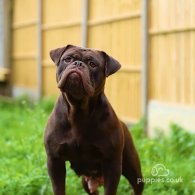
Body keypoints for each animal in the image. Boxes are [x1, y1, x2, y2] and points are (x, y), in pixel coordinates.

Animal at [45, 45, 144, 194]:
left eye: (92, 64)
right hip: (86, 183)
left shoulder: (112, 164)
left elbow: (110, 190)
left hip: (133, 169)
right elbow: (58, 188)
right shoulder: (54, 160)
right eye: (67, 59)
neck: (78, 110)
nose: (78, 64)